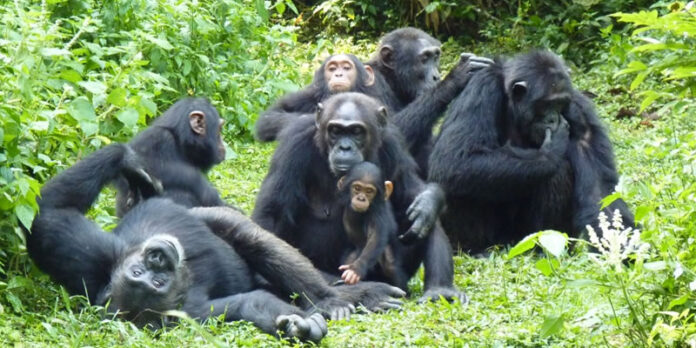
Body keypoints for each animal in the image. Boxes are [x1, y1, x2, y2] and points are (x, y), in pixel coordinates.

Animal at [334, 162, 406, 290]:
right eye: (357, 188)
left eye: (369, 191)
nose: (361, 198)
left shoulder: (378, 212)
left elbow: (375, 238)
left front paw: (356, 270)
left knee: (390, 265)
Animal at [368, 27, 492, 175]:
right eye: (424, 59)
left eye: (435, 57)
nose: (436, 76)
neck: (393, 81)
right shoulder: (372, 82)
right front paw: (455, 77)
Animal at [426, 51, 632, 253]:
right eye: (547, 104)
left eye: (560, 104)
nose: (553, 118)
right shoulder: (482, 89)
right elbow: (455, 158)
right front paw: (551, 151)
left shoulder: (579, 110)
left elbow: (600, 190)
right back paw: (476, 249)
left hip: (525, 238)